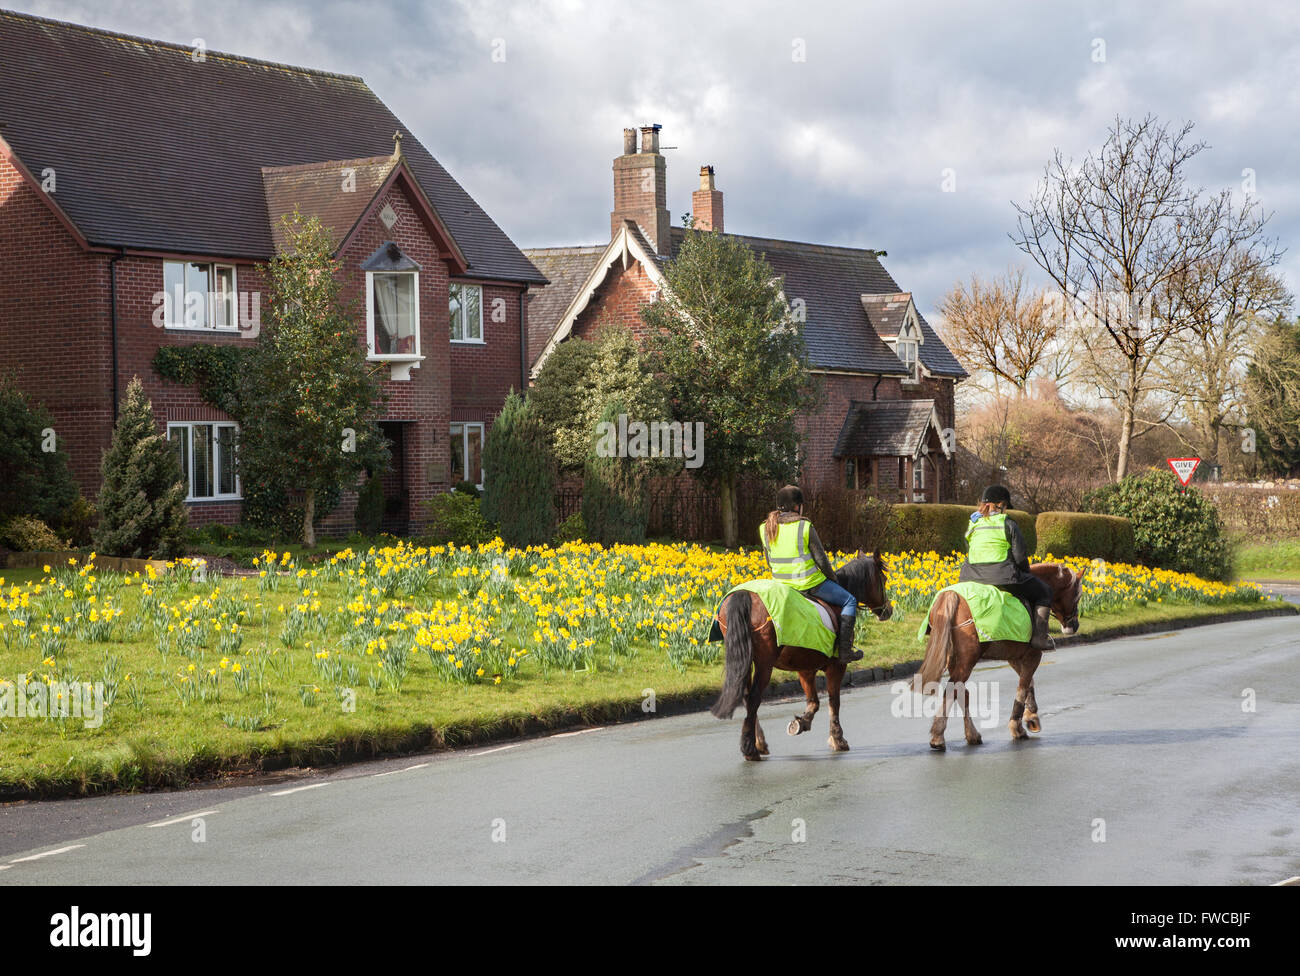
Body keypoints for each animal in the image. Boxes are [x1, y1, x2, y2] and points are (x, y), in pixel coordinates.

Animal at [711, 552, 892, 761]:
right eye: (883, 579)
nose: (888, 610)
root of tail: (745, 594)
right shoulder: (836, 666)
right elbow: (833, 701)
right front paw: (837, 739)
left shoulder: (805, 668)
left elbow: (814, 701)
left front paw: (803, 722)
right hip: (765, 664)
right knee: (754, 698)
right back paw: (750, 749)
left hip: (747, 660)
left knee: (747, 697)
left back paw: (759, 743)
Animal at [914, 563, 1083, 750]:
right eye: (1078, 595)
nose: (1074, 625)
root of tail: (952, 595)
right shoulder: (1033, 656)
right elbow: (1023, 687)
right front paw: (1018, 726)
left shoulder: (1015, 657)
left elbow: (1028, 684)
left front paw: (1030, 716)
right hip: (968, 660)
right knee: (954, 688)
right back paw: (938, 735)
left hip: (955, 659)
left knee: (962, 692)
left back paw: (971, 734)